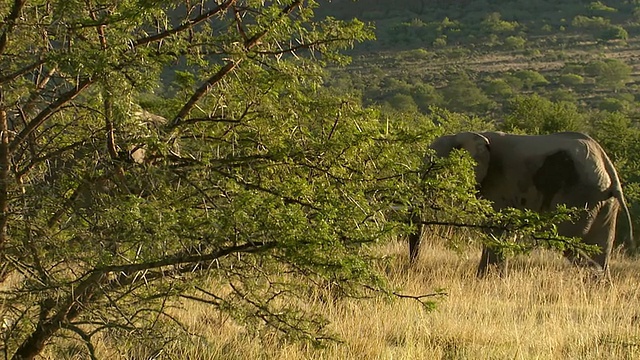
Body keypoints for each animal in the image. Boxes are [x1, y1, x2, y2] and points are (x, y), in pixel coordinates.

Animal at [410, 131, 636, 278]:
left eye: (434, 166)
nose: (413, 267)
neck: (463, 134)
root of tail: (607, 165)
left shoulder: (499, 181)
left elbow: (496, 228)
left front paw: (486, 280)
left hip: (579, 196)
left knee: (569, 242)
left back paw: (594, 273)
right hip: (602, 200)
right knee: (601, 244)